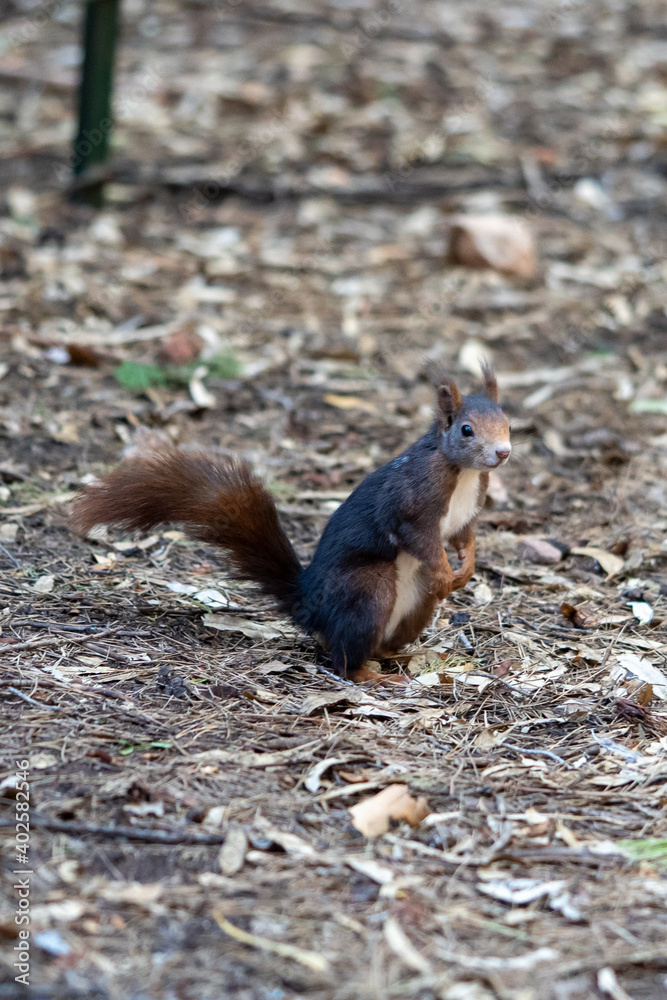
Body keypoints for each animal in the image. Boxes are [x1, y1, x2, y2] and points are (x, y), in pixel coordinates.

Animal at [70, 365, 511, 683]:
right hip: (369, 587)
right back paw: (372, 675)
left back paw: (404, 653)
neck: (462, 473)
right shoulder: (411, 506)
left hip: (415, 604)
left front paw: (465, 570)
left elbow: (465, 539)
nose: (503, 453)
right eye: (467, 430)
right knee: (344, 657)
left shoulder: (467, 513)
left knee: (378, 642)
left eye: (509, 423)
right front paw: (446, 575)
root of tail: (311, 605)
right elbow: (423, 541)